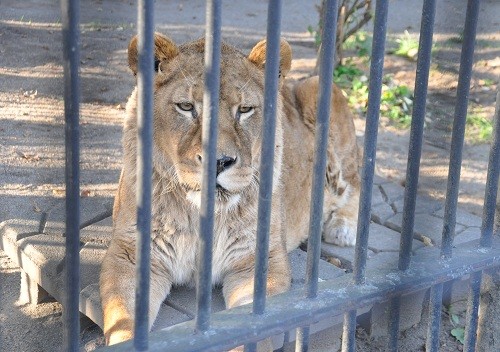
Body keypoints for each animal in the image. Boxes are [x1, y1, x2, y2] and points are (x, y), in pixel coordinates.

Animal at [100, 33, 360, 350]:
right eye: (186, 106)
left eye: (245, 110)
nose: (219, 161)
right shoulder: (128, 255)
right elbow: (123, 325)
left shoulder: (259, 262)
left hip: (319, 92)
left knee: (356, 176)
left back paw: (343, 227)